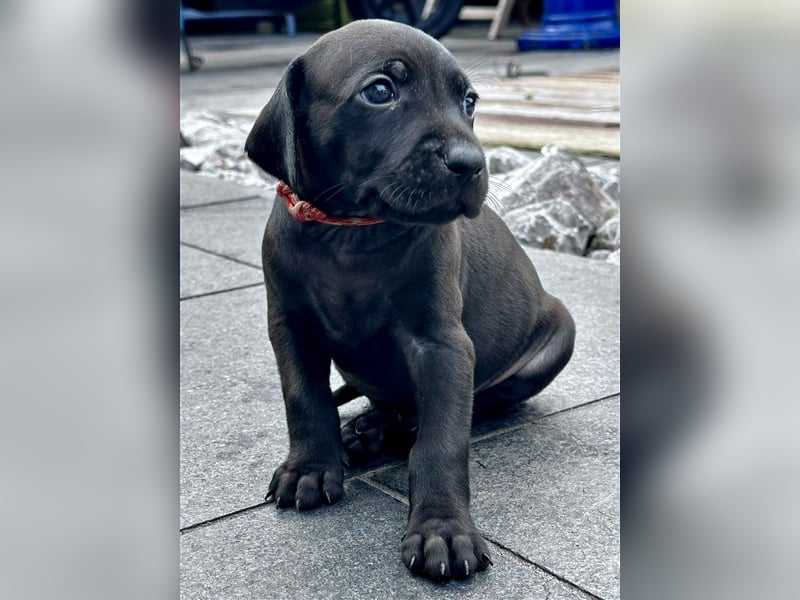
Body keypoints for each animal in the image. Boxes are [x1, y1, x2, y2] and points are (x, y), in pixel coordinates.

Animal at [245, 19, 576, 580]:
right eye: (380, 91)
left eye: (468, 100)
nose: (472, 162)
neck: (349, 235)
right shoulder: (289, 326)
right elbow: (304, 398)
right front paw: (310, 467)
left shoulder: (441, 345)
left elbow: (442, 441)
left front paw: (443, 529)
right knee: (387, 403)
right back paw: (367, 429)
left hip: (558, 338)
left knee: (466, 406)